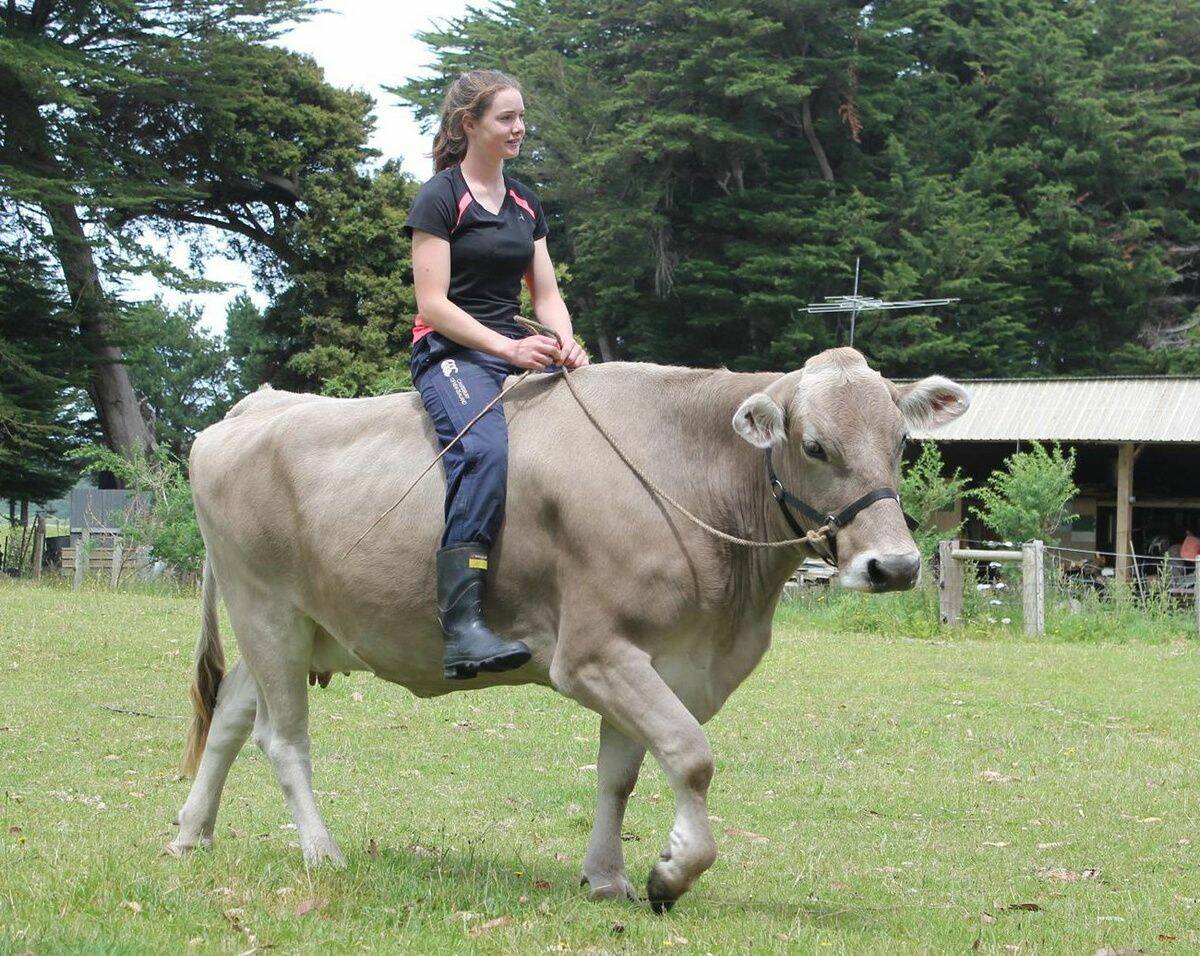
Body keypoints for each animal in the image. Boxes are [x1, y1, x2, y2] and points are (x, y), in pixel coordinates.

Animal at [169, 347, 969, 911]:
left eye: (899, 440)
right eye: (813, 445)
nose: (895, 565)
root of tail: (253, 407)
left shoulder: (659, 656)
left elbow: (622, 774)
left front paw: (607, 877)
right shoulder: (592, 653)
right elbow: (690, 754)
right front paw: (671, 874)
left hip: (299, 624)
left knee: (231, 715)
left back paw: (191, 831)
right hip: (265, 608)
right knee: (281, 737)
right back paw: (321, 852)